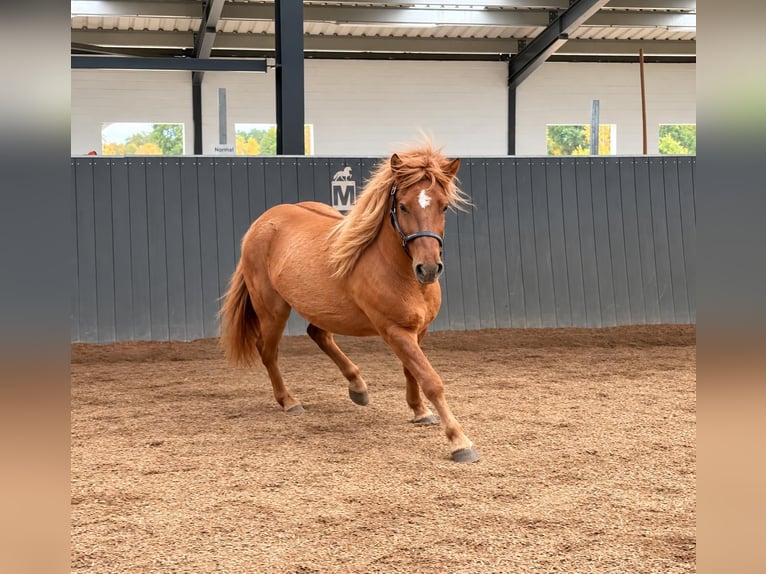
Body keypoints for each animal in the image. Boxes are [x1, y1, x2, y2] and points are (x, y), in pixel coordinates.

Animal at [219, 142, 480, 463]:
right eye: (403, 206)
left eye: (443, 206)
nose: (428, 269)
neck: (398, 271)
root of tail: (259, 224)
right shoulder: (394, 331)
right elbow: (431, 380)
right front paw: (459, 441)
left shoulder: (418, 330)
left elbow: (412, 371)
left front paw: (420, 412)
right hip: (273, 310)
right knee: (268, 351)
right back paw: (289, 401)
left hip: (320, 309)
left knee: (318, 335)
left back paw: (358, 387)